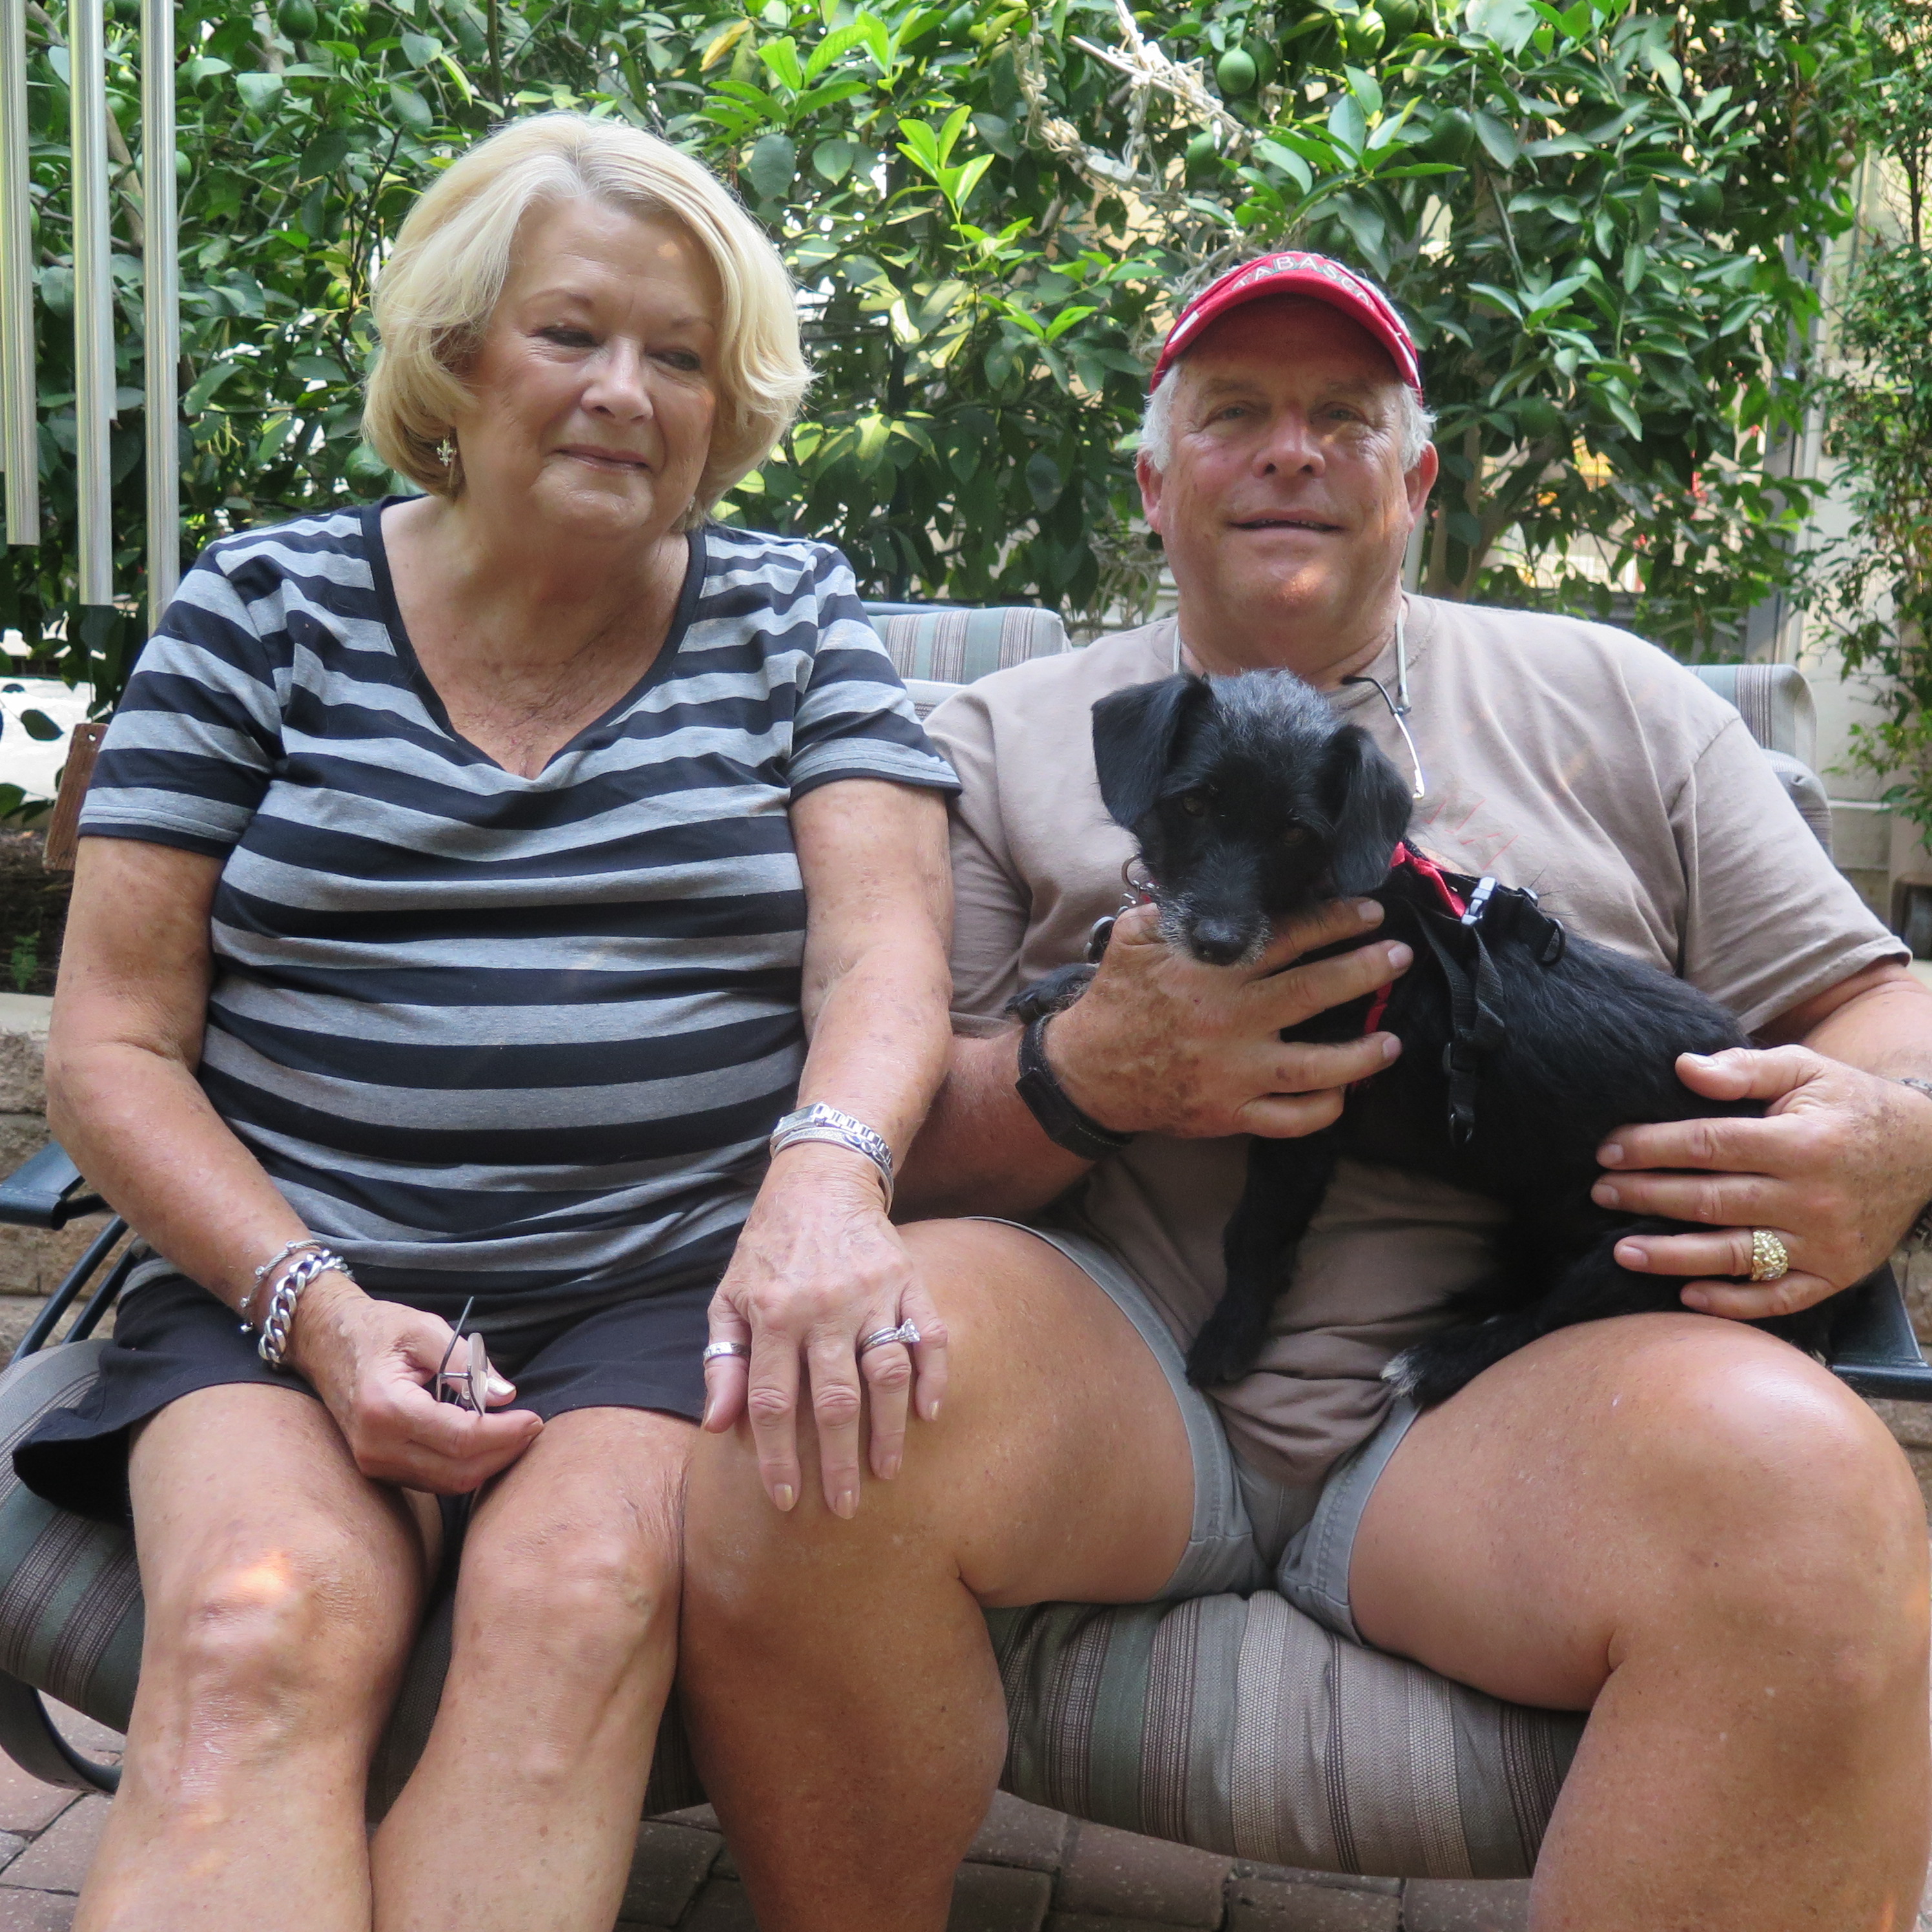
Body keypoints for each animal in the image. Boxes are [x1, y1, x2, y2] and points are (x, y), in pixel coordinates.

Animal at [1008, 669, 1833, 1405]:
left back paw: (1441, 1358)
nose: (1216, 943)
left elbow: (1255, 1230)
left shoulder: (1302, 1113)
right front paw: (1067, 984)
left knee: (1563, 1313)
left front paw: (1230, 1336)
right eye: (1193, 803)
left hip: (1655, 1235)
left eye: (1295, 832)